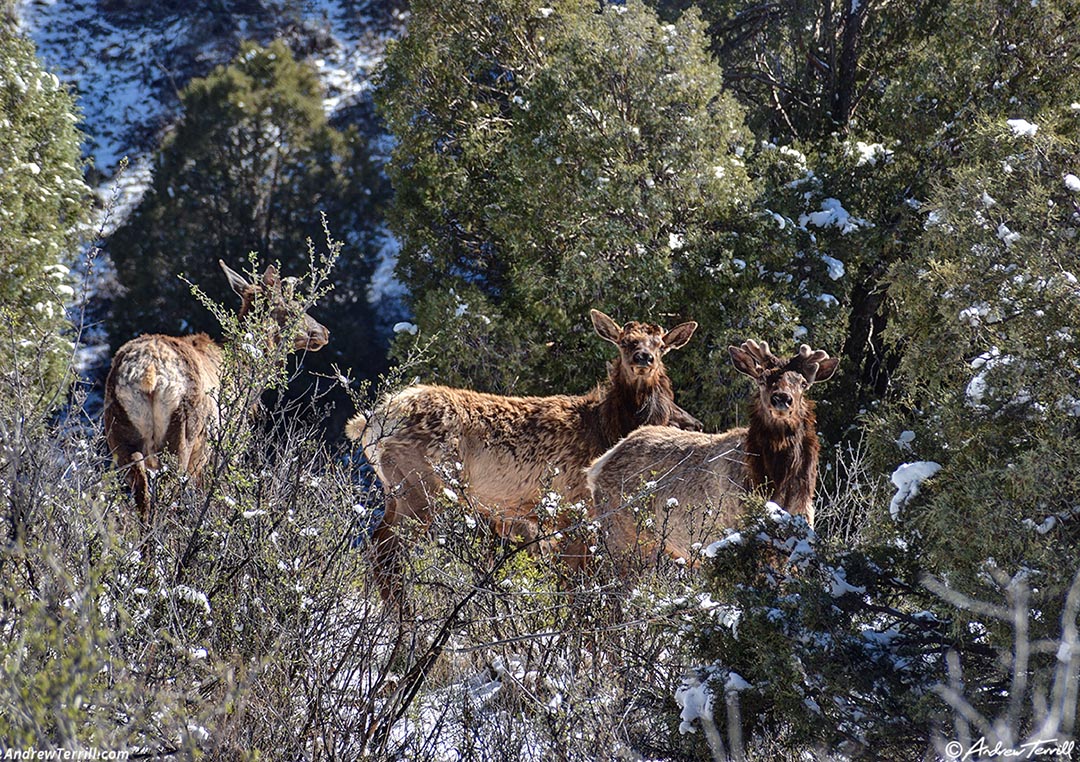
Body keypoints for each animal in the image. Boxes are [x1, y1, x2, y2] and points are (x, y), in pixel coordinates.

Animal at [103, 260, 329, 520]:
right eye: (296, 308)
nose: (324, 332)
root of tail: (148, 372)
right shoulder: (229, 446)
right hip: (182, 434)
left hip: (119, 434)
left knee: (142, 495)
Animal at [345, 309, 700, 601]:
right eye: (624, 342)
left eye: (660, 345)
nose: (643, 357)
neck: (605, 428)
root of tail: (372, 421)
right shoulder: (574, 506)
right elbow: (576, 585)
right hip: (420, 486)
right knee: (387, 550)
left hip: (397, 490)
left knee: (377, 545)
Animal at [585, 339, 838, 575]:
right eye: (762, 379)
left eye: (803, 383)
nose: (781, 399)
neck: (780, 485)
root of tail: (596, 466)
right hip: (622, 533)